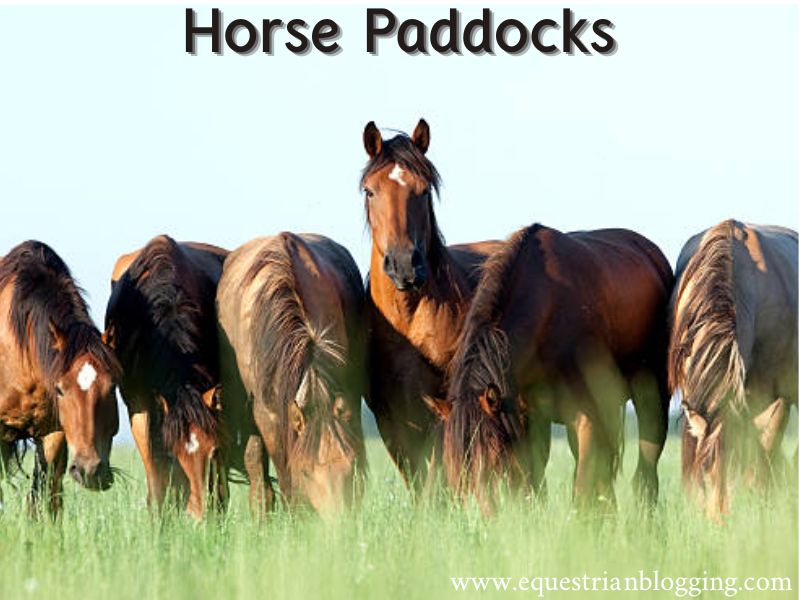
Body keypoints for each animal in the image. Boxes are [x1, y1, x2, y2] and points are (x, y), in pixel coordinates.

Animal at [435, 224, 673, 513]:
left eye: (494, 456)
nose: (486, 519)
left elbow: (582, 490)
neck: (546, 313)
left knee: (645, 469)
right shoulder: (528, 419)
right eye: (455, 467)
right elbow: (535, 485)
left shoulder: (586, 417)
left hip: (651, 396)